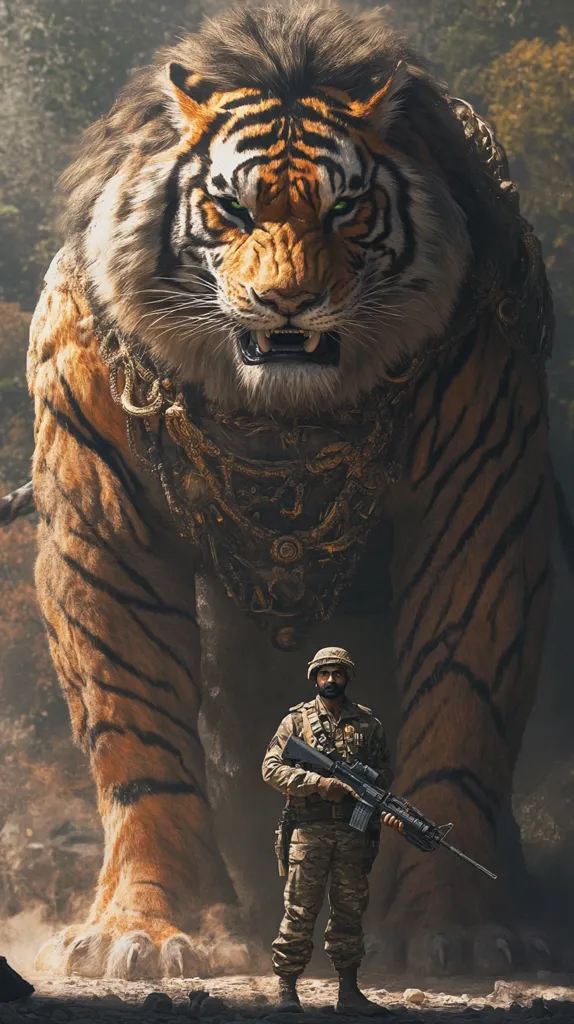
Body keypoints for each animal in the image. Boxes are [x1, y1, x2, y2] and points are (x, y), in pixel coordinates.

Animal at [28, 0, 555, 980]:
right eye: (231, 207)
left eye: (345, 208)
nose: (287, 304)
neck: (278, 417)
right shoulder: (103, 518)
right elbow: (135, 724)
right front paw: (146, 931)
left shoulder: (480, 497)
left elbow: (460, 709)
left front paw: (461, 932)